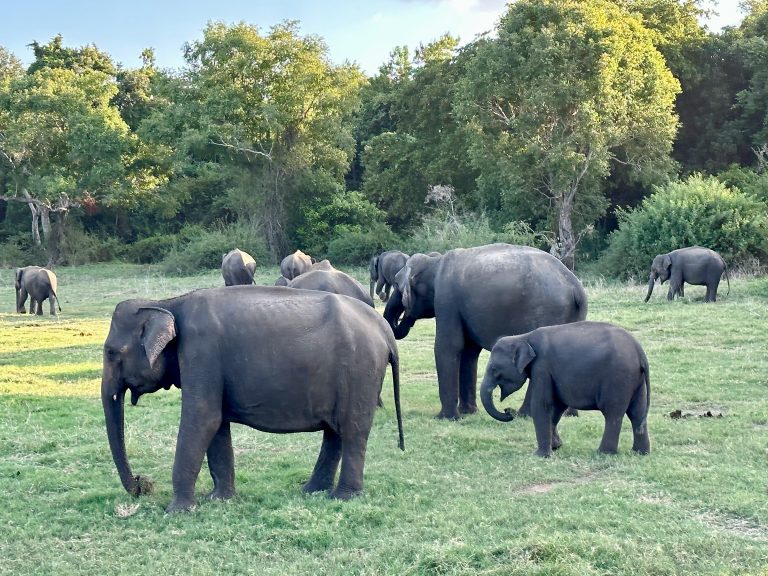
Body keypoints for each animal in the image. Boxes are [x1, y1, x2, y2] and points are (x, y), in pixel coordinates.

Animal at [101, 286, 404, 513]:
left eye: (111, 352)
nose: (142, 484)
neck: (167, 303)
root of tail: (384, 329)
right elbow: (216, 425)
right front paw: (218, 499)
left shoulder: (201, 352)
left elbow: (202, 418)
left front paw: (176, 511)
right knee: (335, 432)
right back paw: (311, 490)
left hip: (360, 370)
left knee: (352, 430)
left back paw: (342, 497)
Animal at [383, 243, 588, 420]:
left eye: (396, 284)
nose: (403, 317)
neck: (435, 261)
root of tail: (576, 288)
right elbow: (469, 351)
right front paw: (468, 412)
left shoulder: (446, 299)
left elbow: (448, 346)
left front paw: (447, 418)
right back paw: (569, 415)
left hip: (547, 313)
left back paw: (524, 415)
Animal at [480, 321, 651, 457]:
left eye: (494, 370)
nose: (507, 410)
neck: (523, 337)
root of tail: (640, 352)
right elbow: (557, 406)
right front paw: (556, 447)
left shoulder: (541, 367)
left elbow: (542, 404)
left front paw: (541, 455)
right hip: (636, 381)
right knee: (637, 413)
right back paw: (640, 453)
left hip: (618, 378)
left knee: (613, 414)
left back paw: (604, 453)